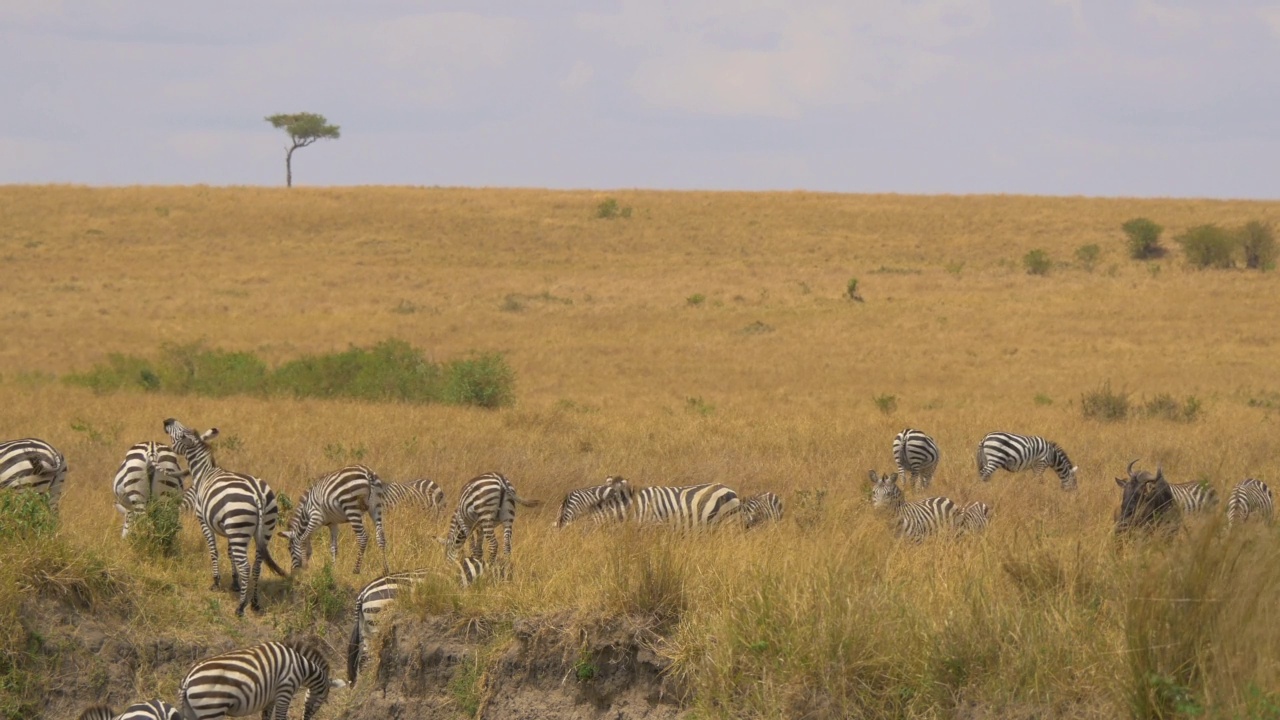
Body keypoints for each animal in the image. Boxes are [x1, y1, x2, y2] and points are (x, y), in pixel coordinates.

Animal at [163, 417, 289, 614]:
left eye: (182, 433)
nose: (167, 421)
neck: (204, 473)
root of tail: (257, 493)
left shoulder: (204, 521)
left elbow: (213, 550)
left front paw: (216, 582)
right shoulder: (230, 529)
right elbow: (230, 553)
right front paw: (235, 583)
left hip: (240, 527)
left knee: (246, 566)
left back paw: (241, 606)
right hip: (262, 528)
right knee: (257, 565)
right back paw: (254, 602)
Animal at [177, 638, 345, 717]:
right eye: (324, 699)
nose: (306, 717)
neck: (302, 665)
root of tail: (187, 679)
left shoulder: (270, 698)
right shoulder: (285, 691)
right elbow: (281, 717)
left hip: (192, 711)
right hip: (211, 709)